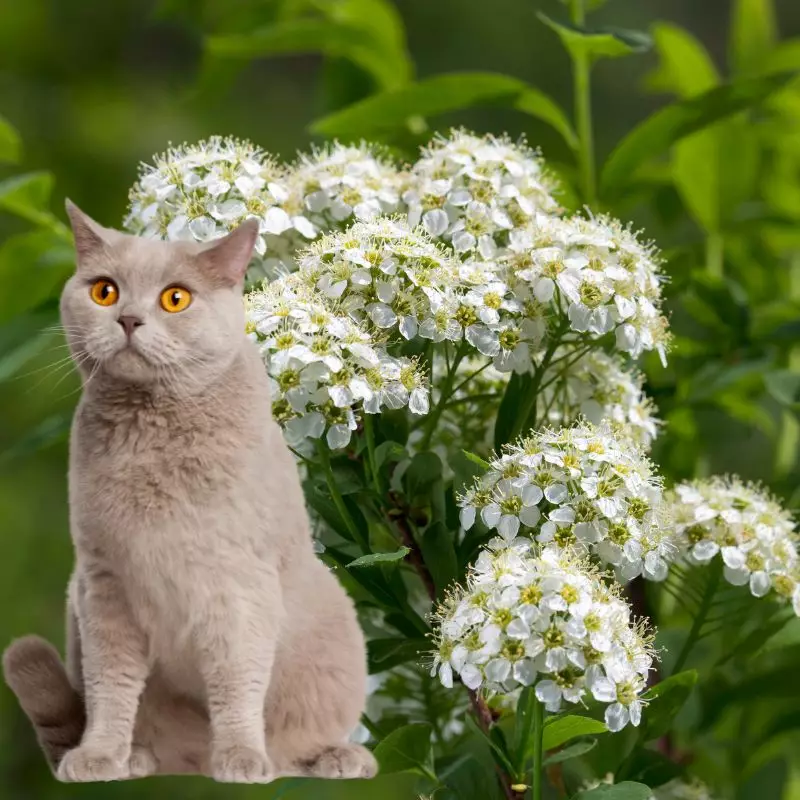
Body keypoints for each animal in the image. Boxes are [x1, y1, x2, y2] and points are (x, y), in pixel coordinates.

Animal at [1, 203, 376, 784]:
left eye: (175, 298)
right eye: (104, 291)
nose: (129, 319)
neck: (151, 433)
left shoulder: (237, 585)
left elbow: (236, 681)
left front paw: (242, 759)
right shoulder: (104, 585)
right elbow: (111, 687)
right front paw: (100, 756)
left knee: (300, 739)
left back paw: (331, 759)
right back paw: (139, 759)